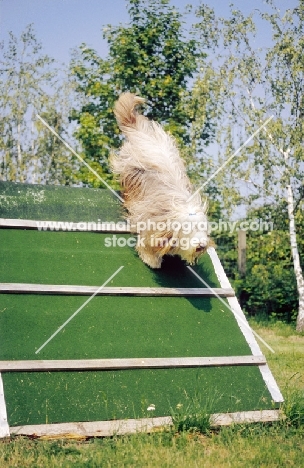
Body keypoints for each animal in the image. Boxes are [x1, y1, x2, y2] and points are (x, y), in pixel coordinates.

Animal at [111, 91, 209, 268]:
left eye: (202, 228)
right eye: (189, 230)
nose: (202, 245)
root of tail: (139, 130)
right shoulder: (150, 223)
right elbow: (146, 243)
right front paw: (151, 260)